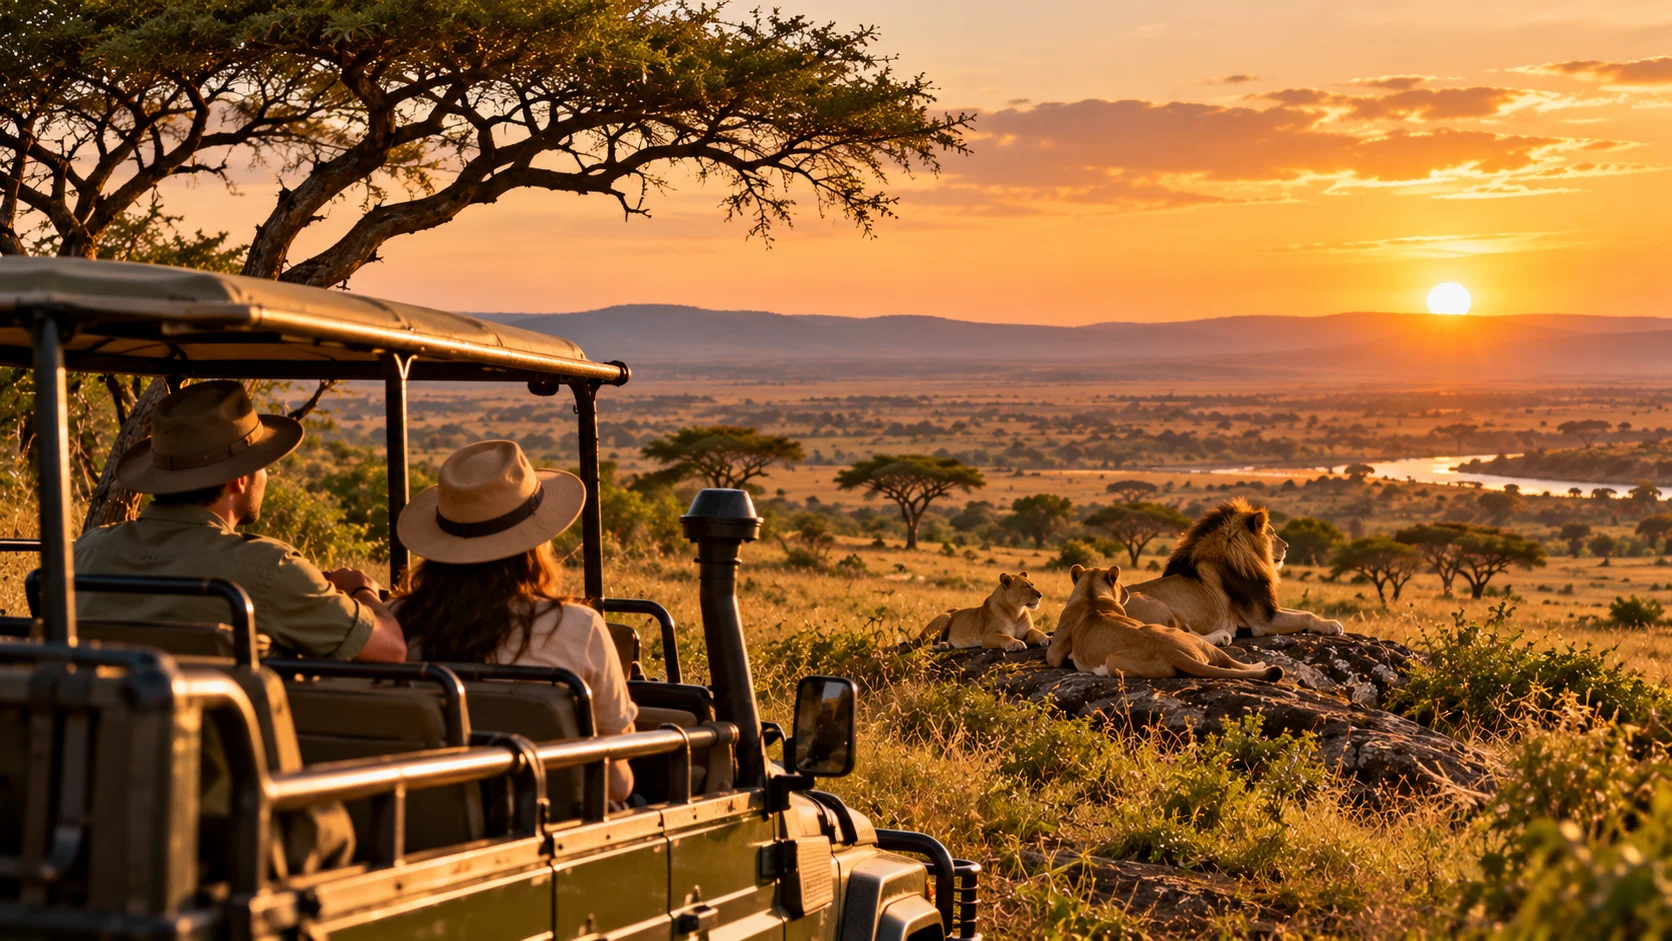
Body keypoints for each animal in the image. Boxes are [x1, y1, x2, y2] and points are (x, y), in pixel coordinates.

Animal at [914, 571, 1045, 651]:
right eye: (1026, 587)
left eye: (1032, 584)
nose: (1040, 595)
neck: (1016, 612)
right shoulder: (987, 637)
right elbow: (1005, 637)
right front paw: (1015, 643)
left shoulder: (1027, 630)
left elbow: (1036, 632)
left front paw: (1045, 638)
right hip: (944, 617)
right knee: (922, 644)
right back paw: (938, 647)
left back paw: (944, 645)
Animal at [1046, 564, 1281, 680]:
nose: (1126, 592)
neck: (1092, 595)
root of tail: (1171, 651)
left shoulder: (1053, 654)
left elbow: (1055, 655)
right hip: (1192, 642)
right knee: (1230, 660)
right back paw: (1263, 665)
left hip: (1113, 662)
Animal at [1124, 497, 1344, 646]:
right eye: (1272, 534)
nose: (1287, 546)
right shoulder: (1262, 621)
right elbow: (1306, 614)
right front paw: (1332, 624)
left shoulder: (1267, 608)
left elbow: (1303, 611)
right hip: (1156, 606)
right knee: (1173, 634)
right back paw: (1221, 636)